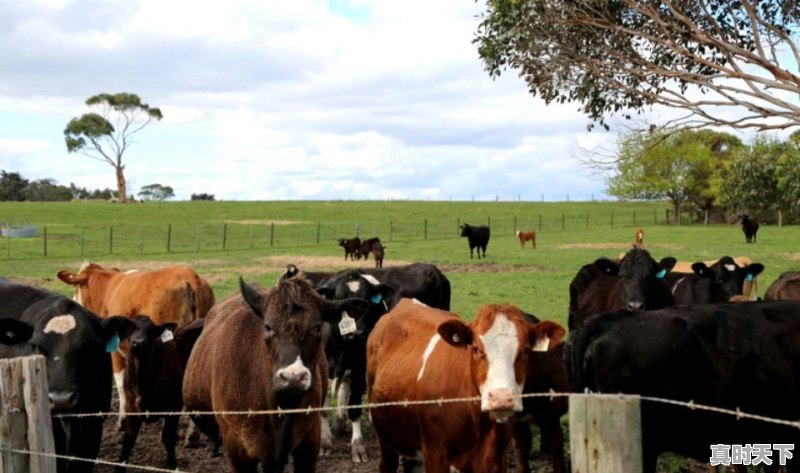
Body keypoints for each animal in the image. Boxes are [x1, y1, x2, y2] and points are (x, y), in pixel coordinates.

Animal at [316, 270, 396, 460]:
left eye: (367, 302)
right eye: (339, 299)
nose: (357, 332)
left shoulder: (360, 368)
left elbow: (354, 407)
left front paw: (358, 446)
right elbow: (323, 407)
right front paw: (325, 442)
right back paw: (338, 423)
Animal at [366, 298, 564, 472]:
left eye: (525, 351)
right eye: (476, 348)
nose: (501, 398)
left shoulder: (498, 459)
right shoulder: (435, 455)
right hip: (385, 438)